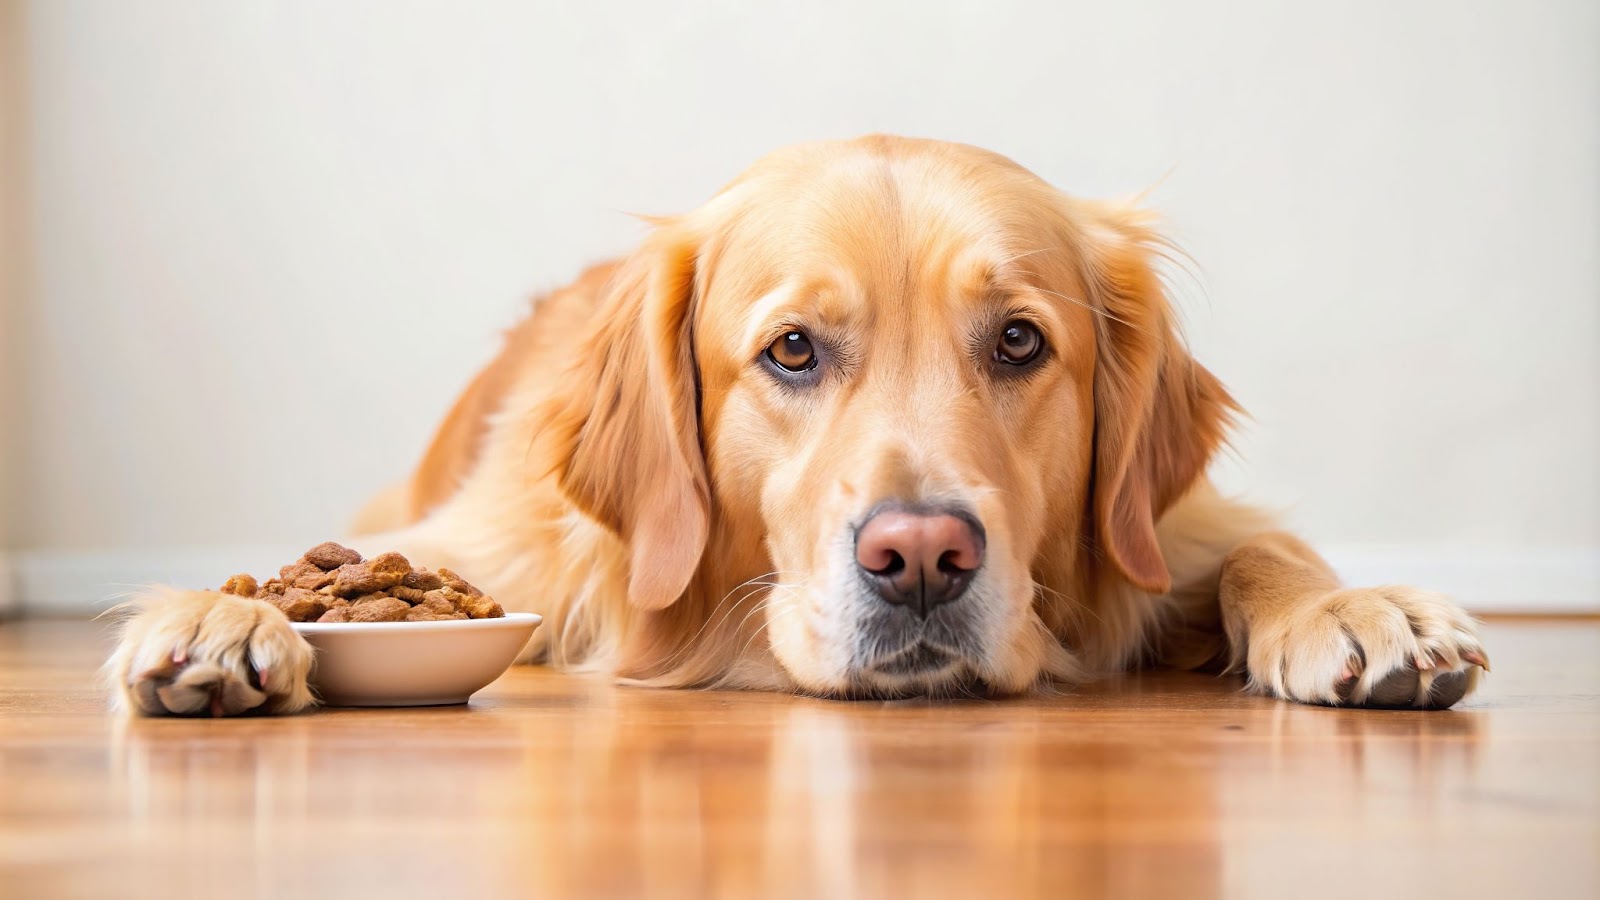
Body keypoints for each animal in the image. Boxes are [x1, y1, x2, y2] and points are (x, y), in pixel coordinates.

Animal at [109, 134, 1484, 714]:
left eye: (1019, 342)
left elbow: (1263, 547)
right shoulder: (480, 554)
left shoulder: (1161, 528)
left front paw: (1359, 608)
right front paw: (223, 616)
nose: (921, 560)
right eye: (790, 351)